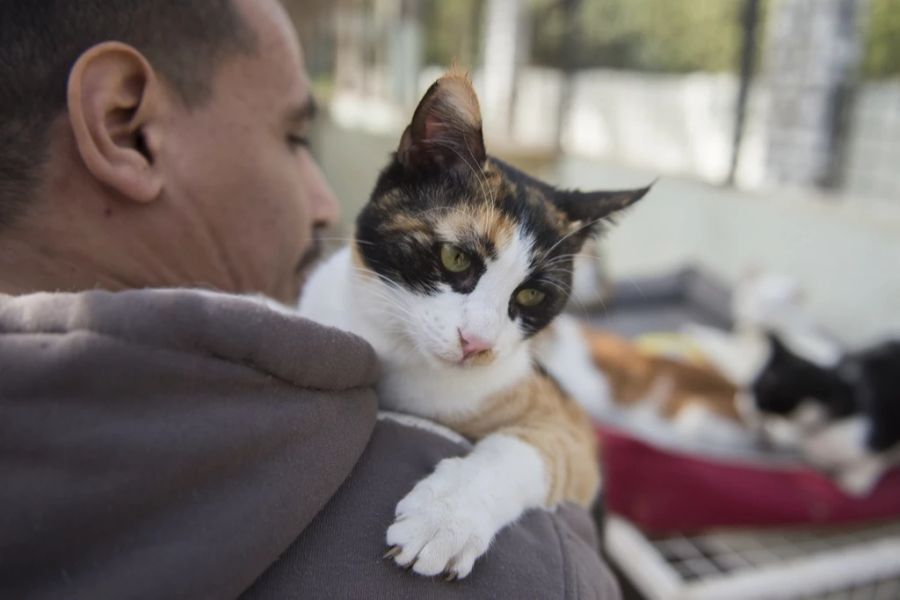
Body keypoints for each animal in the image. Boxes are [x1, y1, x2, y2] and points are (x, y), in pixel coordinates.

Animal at [298, 71, 652, 580]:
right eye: (455, 257)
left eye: (531, 295)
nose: (477, 343)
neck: (400, 349)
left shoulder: (566, 424)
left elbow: (522, 451)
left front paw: (444, 520)